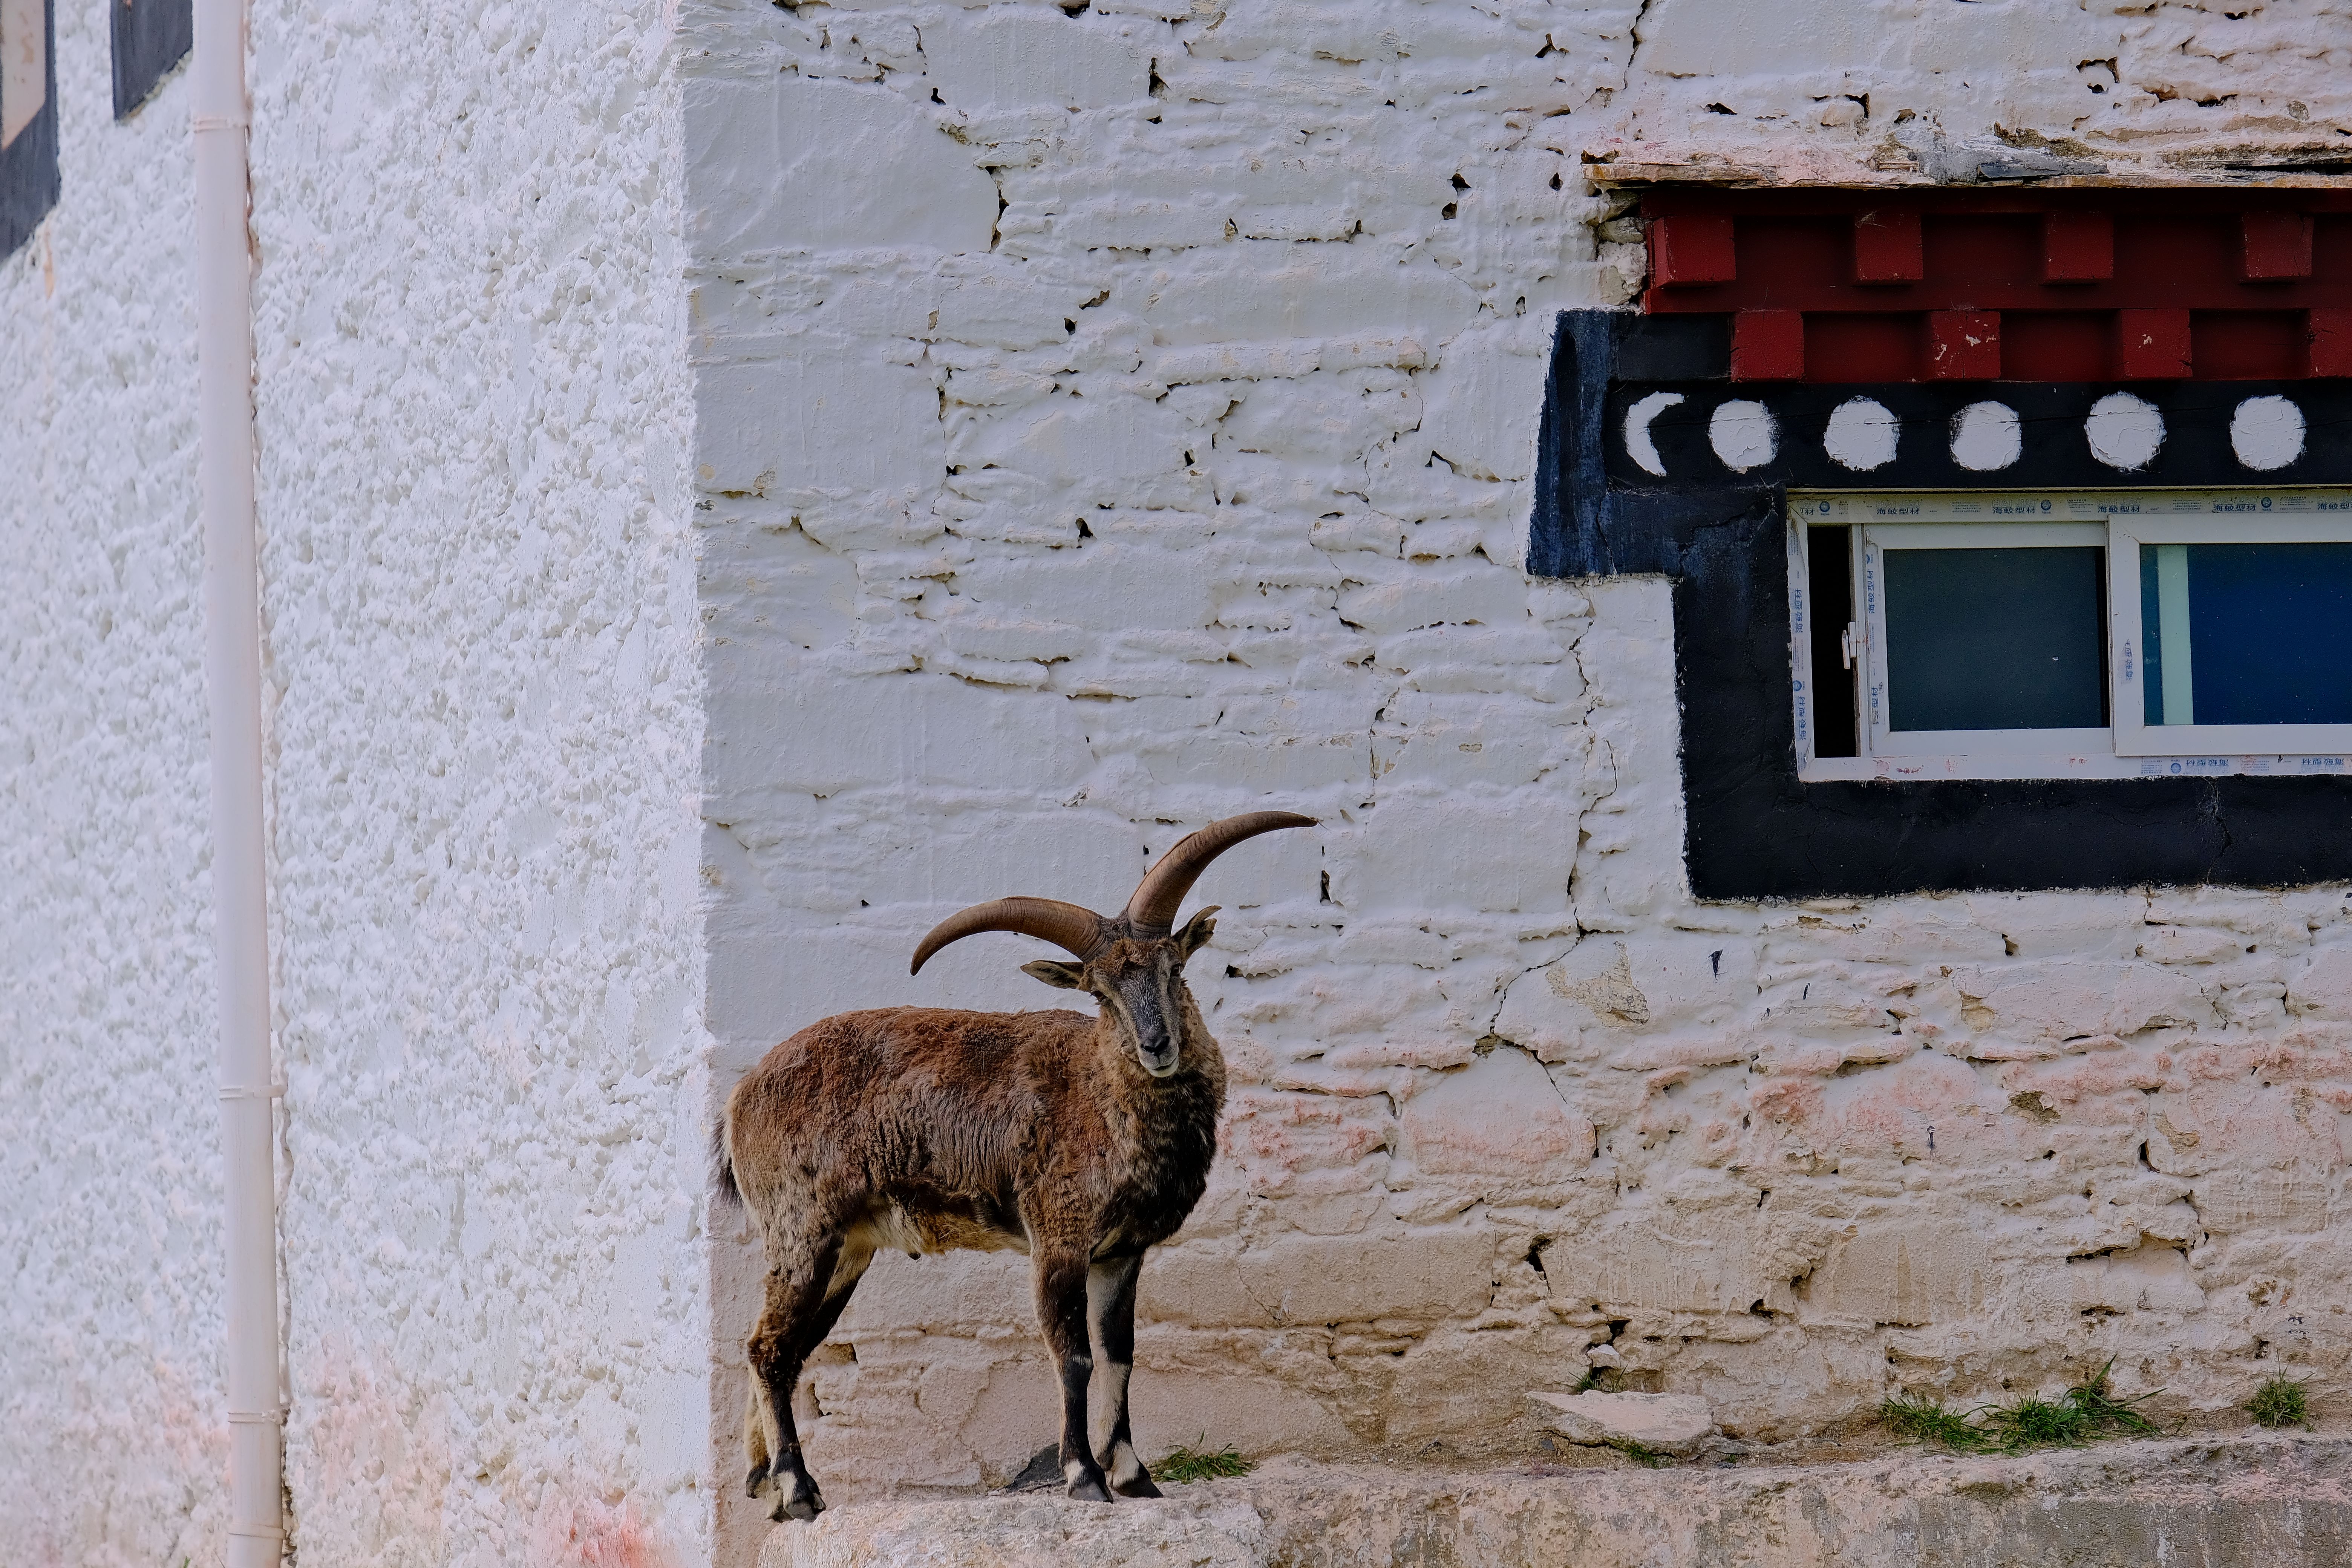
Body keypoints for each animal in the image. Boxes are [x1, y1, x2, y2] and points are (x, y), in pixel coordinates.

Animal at [715, 810, 1314, 1521]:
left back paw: (765, 1485)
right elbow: (1074, 1355)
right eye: (1100, 992)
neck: (1100, 1096)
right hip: (803, 1229)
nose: (1157, 1045)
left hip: (845, 1251)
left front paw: (1135, 1476)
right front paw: (1085, 1477)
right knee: (770, 1348)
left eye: (1174, 968)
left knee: (782, 1348)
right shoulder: (1058, 1236)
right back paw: (798, 1488)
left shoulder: (1121, 1253)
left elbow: (1120, 1354)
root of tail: (740, 1100)